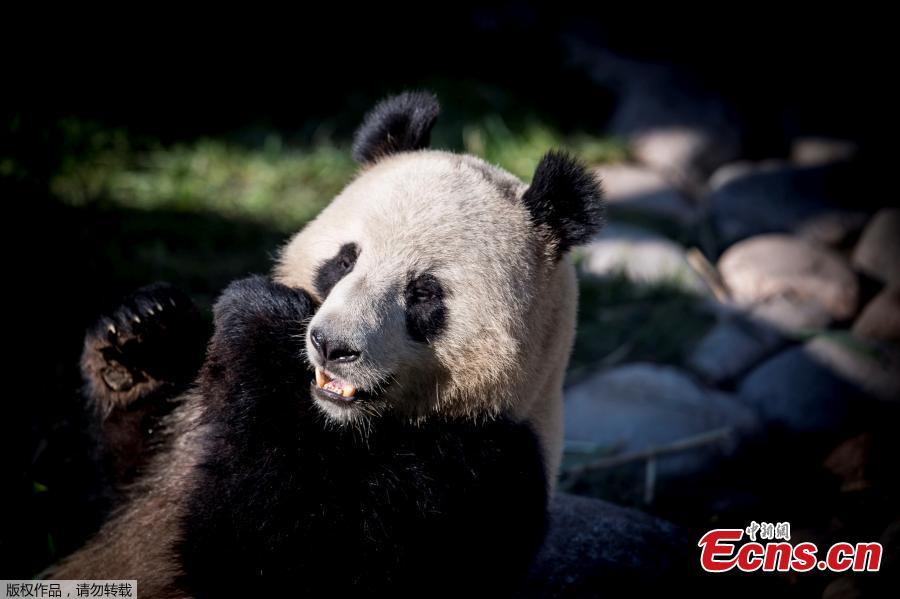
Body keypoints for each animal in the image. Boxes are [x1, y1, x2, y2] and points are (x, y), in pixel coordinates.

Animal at [54, 91, 604, 596]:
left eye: (424, 293)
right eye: (344, 260)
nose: (330, 345)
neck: (339, 423)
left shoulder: (479, 480)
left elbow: (274, 555)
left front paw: (260, 320)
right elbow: (107, 494)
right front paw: (142, 335)